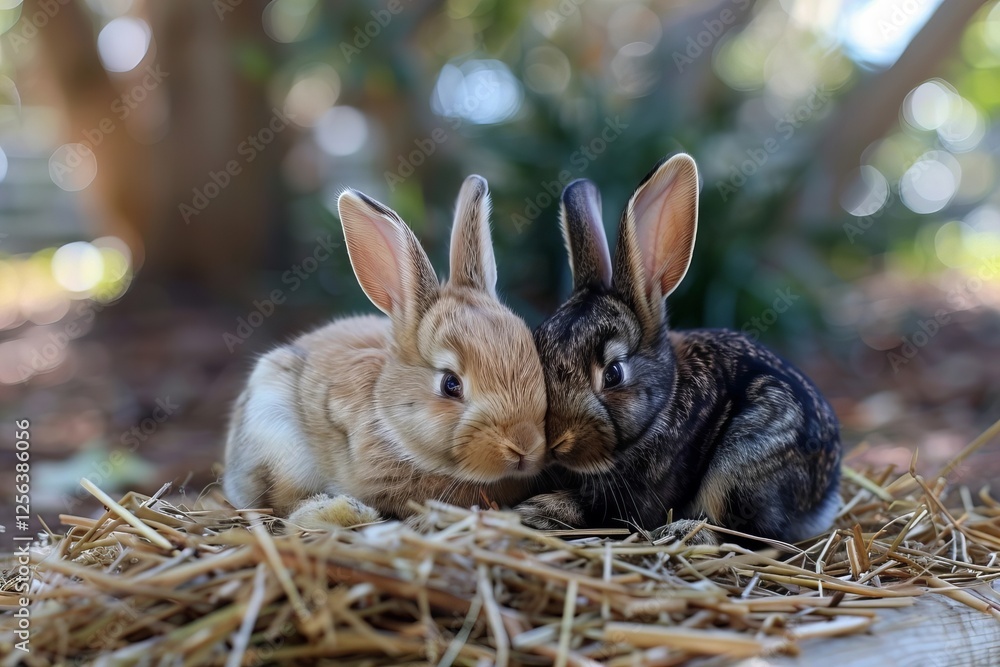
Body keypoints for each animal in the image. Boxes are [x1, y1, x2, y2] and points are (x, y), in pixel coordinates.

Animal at [516, 154, 841, 544]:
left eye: (613, 374)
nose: (557, 441)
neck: (664, 403)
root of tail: (824, 493)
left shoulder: (633, 498)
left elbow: (603, 513)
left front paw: (537, 510)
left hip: (740, 467)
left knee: (756, 536)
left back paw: (683, 531)